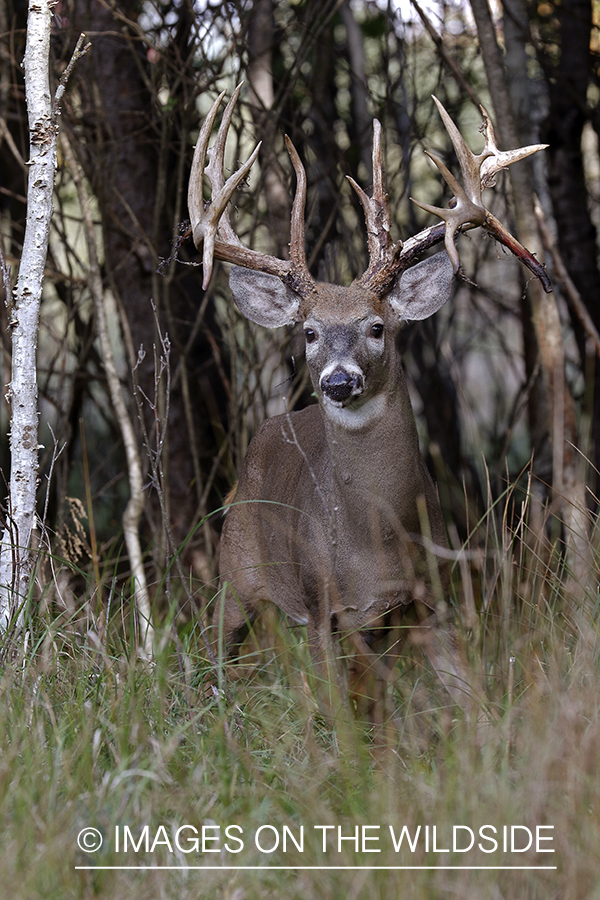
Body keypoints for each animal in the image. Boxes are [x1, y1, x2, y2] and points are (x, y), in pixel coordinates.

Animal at [190, 86, 552, 724]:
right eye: (309, 331)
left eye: (377, 327)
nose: (338, 381)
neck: (375, 542)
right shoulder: (321, 606)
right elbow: (341, 720)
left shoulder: (429, 599)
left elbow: (471, 701)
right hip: (236, 572)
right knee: (217, 655)